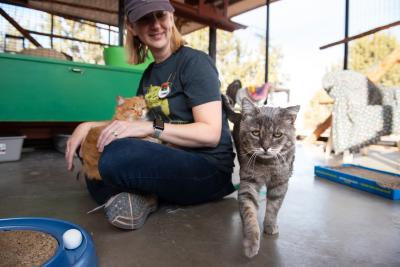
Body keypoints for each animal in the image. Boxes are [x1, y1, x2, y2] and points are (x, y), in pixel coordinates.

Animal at [222, 94, 300, 260]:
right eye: (256, 133)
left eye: (277, 134)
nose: (265, 147)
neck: (267, 165)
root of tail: (239, 114)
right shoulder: (248, 183)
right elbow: (249, 212)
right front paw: (251, 243)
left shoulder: (280, 183)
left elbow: (274, 207)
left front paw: (270, 226)